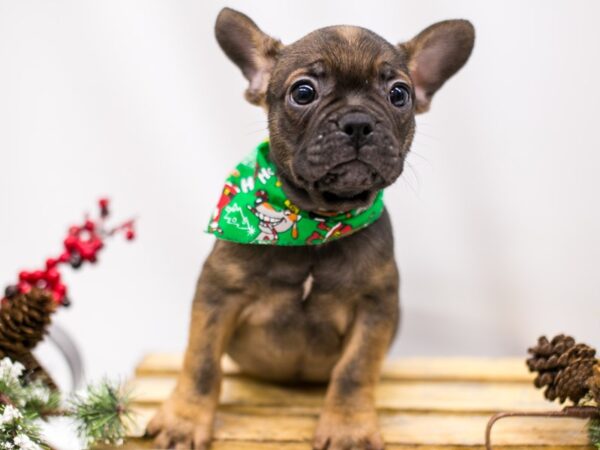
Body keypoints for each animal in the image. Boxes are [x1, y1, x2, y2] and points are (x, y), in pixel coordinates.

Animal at [146, 7, 474, 450]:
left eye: (399, 95)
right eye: (303, 93)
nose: (358, 122)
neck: (315, 221)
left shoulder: (375, 306)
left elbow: (354, 370)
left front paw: (349, 428)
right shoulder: (218, 294)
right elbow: (201, 360)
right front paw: (184, 420)